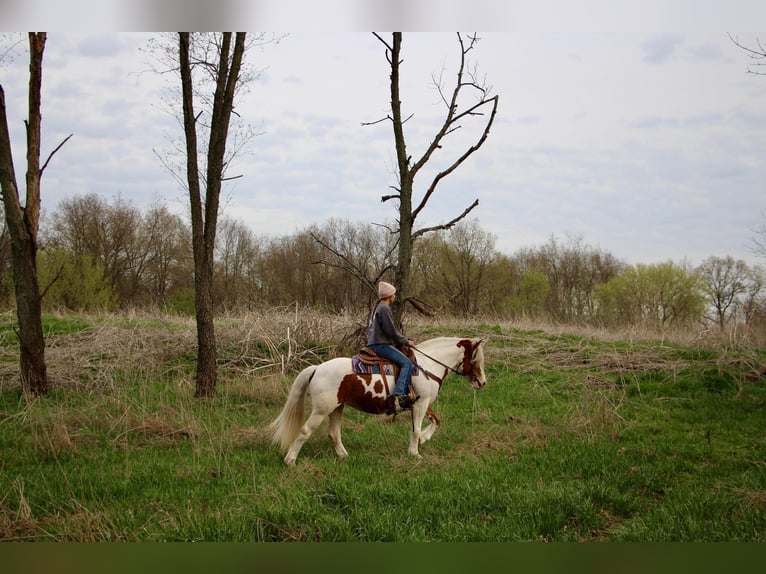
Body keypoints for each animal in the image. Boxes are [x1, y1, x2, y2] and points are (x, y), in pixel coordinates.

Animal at [268, 338, 488, 468]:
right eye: (475, 359)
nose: (482, 382)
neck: (426, 366)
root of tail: (317, 368)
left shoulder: (420, 403)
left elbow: (436, 421)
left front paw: (423, 440)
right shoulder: (421, 403)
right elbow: (416, 430)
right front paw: (415, 452)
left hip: (337, 408)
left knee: (334, 433)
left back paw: (344, 456)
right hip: (321, 411)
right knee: (305, 431)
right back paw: (290, 460)